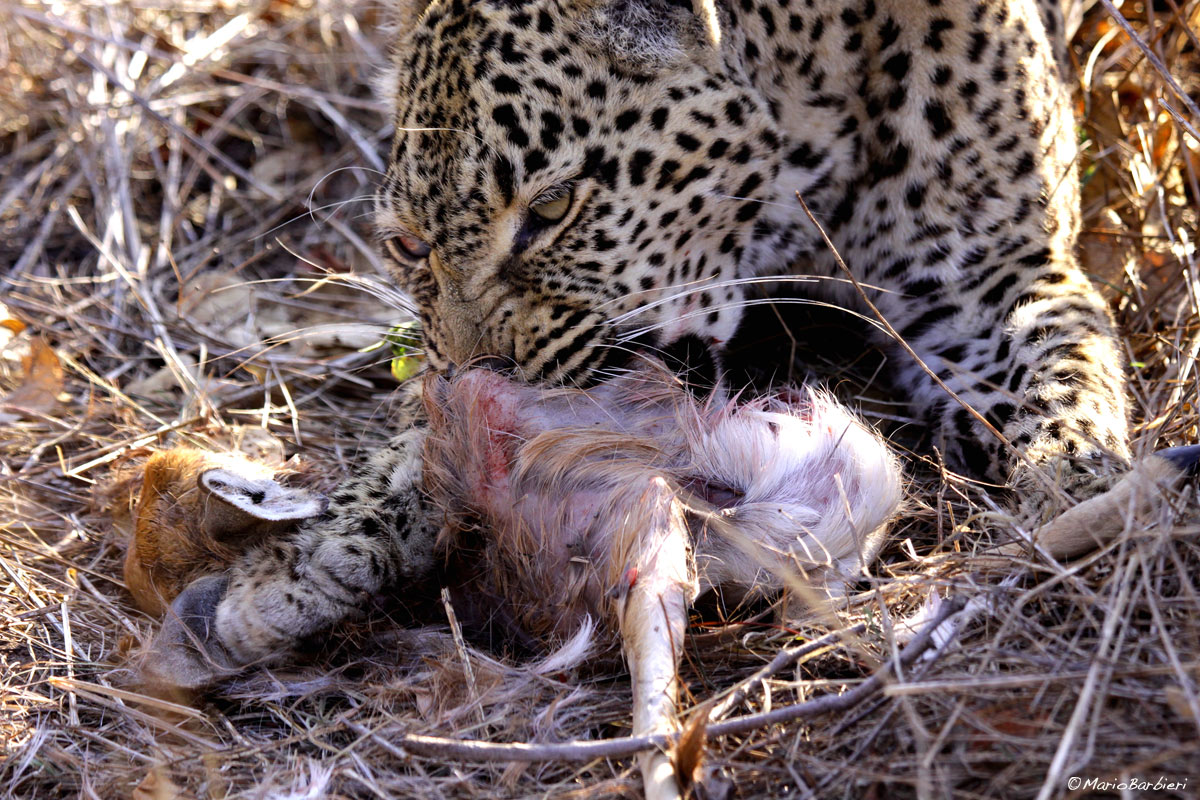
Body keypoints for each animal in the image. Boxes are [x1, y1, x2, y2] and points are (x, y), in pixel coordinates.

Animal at [145, 0, 1200, 686]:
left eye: (552, 210)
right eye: (407, 245)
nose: (481, 382)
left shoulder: (996, 278)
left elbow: (1065, 385)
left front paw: (1079, 487)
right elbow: (402, 460)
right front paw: (291, 575)